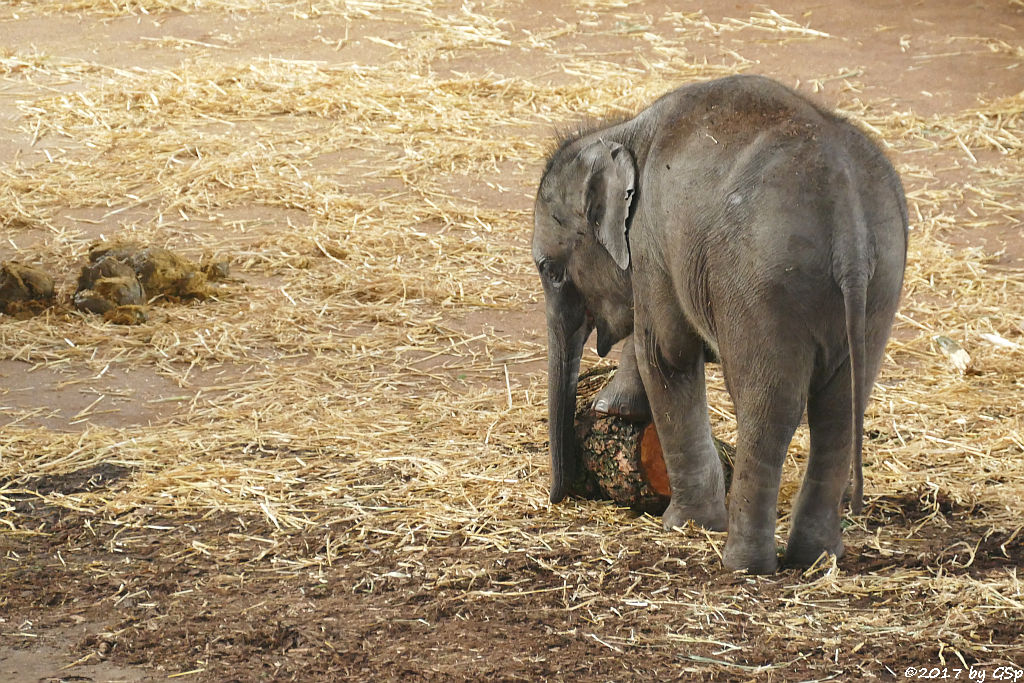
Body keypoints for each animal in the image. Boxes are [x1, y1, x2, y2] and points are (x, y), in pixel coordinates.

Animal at [536, 74, 905, 573]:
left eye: (550, 271)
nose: (561, 496)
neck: (624, 130)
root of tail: (847, 216)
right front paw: (616, 409)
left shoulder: (653, 237)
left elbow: (666, 354)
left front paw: (685, 524)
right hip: (879, 283)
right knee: (841, 408)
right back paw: (815, 560)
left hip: (764, 284)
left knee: (768, 410)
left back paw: (743, 564)